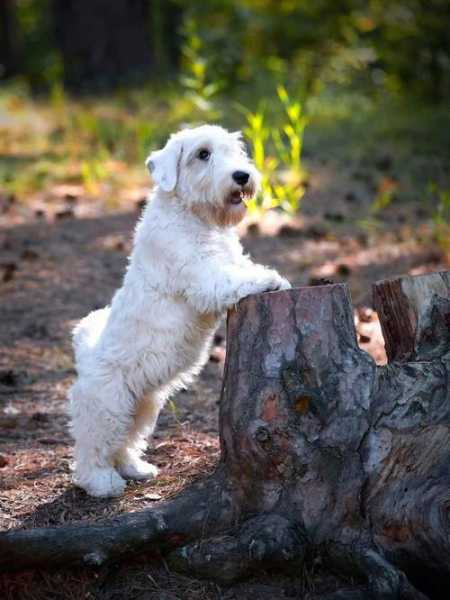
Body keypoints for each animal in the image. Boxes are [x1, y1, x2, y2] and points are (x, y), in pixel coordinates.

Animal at [68, 123, 290, 496]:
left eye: (235, 151)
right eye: (203, 154)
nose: (242, 176)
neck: (195, 217)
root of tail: (86, 353)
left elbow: (240, 266)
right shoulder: (204, 275)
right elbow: (233, 280)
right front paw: (269, 280)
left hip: (142, 406)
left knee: (125, 443)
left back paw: (137, 468)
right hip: (108, 407)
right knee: (92, 450)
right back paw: (102, 483)